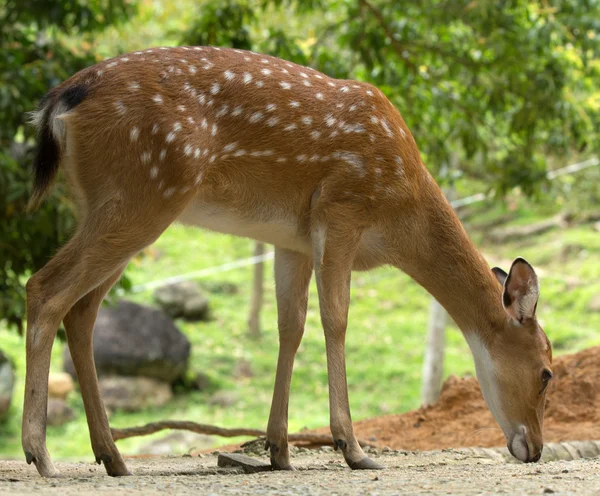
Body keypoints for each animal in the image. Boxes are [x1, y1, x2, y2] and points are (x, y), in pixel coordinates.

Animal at [24, 46, 552, 476]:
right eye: (547, 373)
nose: (536, 449)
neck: (401, 216)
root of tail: (59, 102)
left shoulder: (291, 240)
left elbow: (290, 326)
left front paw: (279, 449)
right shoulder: (341, 210)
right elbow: (335, 319)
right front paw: (352, 447)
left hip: (105, 202)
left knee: (81, 309)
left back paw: (111, 456)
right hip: (143, 190)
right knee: (44, 288)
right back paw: (41, 454)